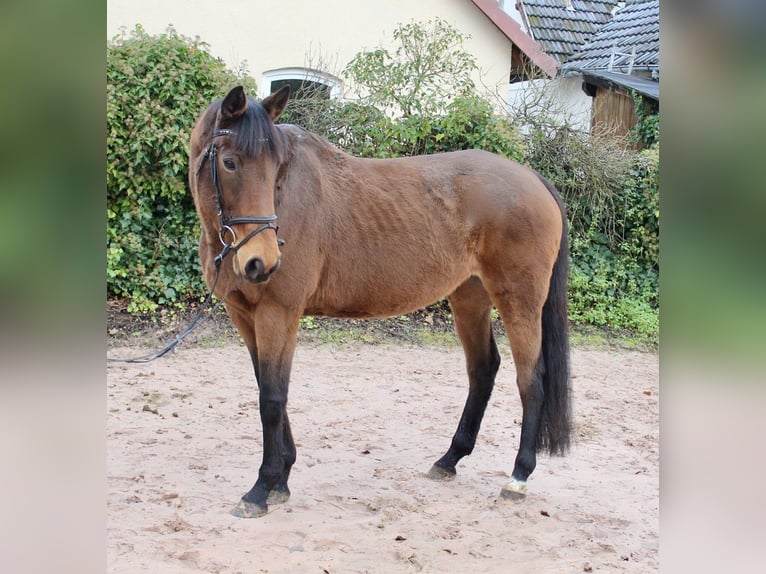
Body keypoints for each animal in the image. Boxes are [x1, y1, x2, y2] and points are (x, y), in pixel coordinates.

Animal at [188, 86, 568, 520]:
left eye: (275, 167)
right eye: (230, 162)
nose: (262, 262)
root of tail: (533, 179)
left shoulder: (278, 314)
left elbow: (271, 398)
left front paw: (261, 488)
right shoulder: (244, 317)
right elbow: (271, 392)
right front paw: (282, 478)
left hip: (519, 301)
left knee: (531, 380)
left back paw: (518, 477)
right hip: (469, 298)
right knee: (483, 369)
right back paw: (449, 459)